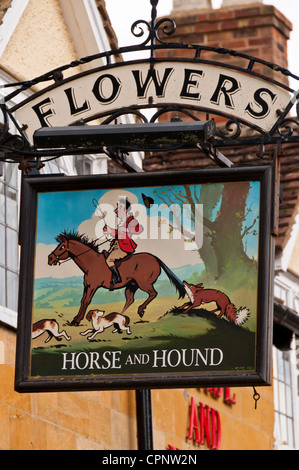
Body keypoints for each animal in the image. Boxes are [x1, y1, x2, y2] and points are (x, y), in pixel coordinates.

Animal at [48, 231, 186, 326]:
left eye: (61, 247)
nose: (50, 258)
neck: (91, 263)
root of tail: (155, 258)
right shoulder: (87, 286)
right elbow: (82, 301)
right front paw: (76, 319)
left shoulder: (93, 286)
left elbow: (86, 301)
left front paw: (76, 321)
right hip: (132, 285)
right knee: (130, 299)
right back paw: (120, 316)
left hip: (144, 283)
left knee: (153, 293)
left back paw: (140, 310)